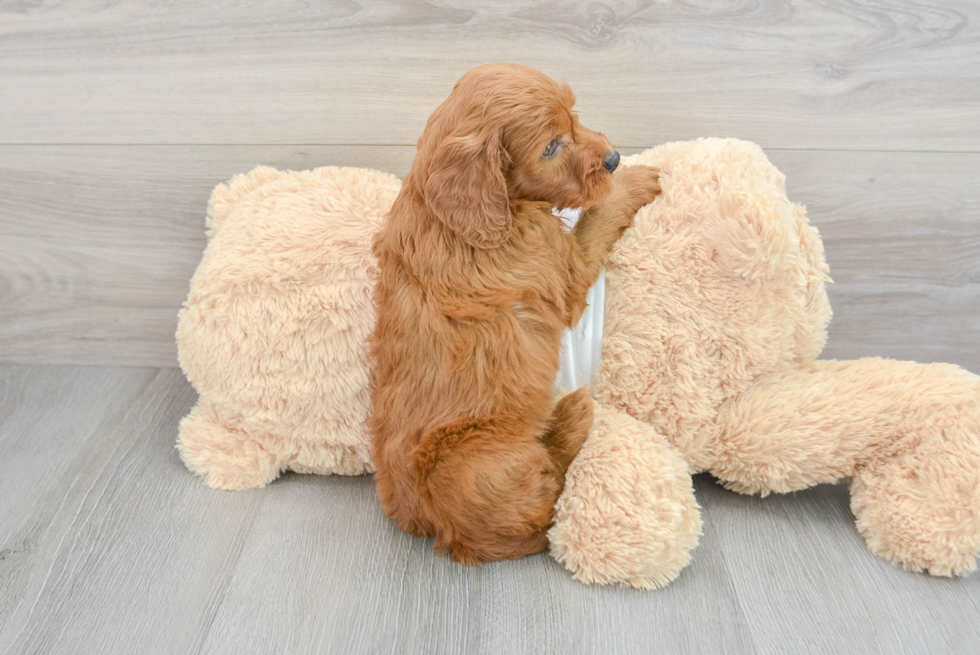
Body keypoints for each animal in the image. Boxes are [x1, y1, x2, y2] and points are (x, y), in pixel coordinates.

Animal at [372, 64, 664, 564]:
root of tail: (446, 535)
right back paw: (571, 416)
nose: (613, 158)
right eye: (550, 146)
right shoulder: (563, 269)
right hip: (473, 467)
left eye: (573, 117)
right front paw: (633, 181)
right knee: (547, 502)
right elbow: (596, 218)